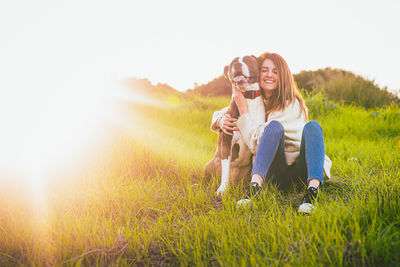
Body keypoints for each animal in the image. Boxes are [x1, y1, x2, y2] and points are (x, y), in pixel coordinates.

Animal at [206, 55, 266, 197]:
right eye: (233, 62)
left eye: (248, 60)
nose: (237, 65)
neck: (248, 98)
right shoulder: (227, 140)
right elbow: (225, 168)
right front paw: (222, 189)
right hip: (210, 164)